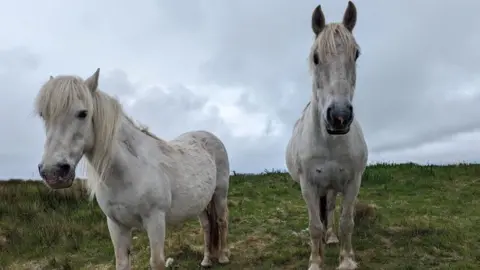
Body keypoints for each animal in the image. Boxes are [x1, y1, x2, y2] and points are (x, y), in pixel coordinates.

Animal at [33, 68, 231, 268]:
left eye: (83, 113)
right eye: (43, 115)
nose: (53, 172)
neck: (127, 172)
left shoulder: (155, 221)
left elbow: (157, 262)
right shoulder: (116, 225)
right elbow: (122, 262)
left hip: (219, 194)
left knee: (221, 221)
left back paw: (222, 257)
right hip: (201, 203)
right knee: (207, 226)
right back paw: (206, 260)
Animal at [284, 2, 368, 270]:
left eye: (356, 54)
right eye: (315, 57)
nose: (339, 116)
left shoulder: (353, 182)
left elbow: (346, 222)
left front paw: (346, 260)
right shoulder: (308, 186)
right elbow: (314, 226)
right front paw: (315, 261)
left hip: (332, 186)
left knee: (330, 210)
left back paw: (331, 238)